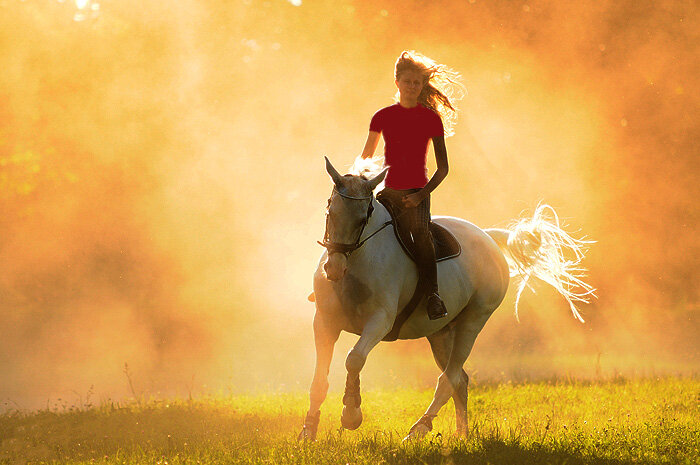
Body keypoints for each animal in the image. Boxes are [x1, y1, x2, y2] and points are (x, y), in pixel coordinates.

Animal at [300, 158, 596, 440]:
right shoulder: (324, 323)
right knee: (460, 380)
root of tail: (489, 237)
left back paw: (419, 429)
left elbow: (354, 358)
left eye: (363, 219)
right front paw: (308, 431)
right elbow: (319, 380)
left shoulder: (379, 322)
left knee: (449, 377)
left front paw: (351, 414)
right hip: (440, 332)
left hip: (473, 321)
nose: (333, 269)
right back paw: (461, 434)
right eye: (330, 212)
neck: (358, 262)